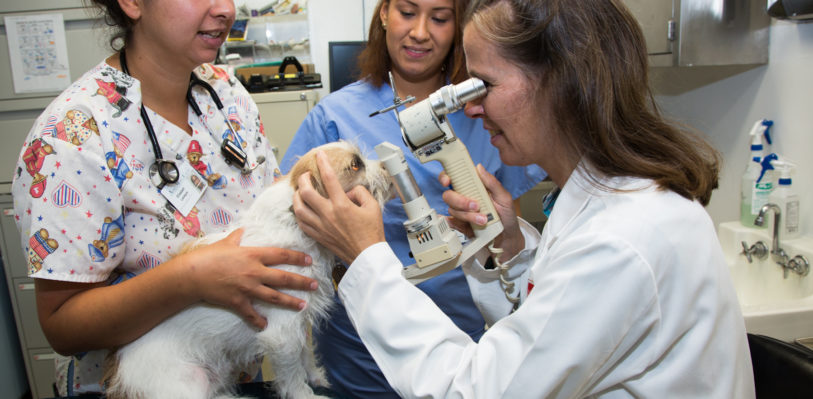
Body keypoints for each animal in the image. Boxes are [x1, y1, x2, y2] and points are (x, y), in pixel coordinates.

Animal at [103, 142, 394, 398]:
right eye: (355, 165)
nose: (386, 167)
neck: (293, 222)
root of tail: (119, 377)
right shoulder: (282, 332)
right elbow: (292, 373)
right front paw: (306, 394)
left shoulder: (299, 321)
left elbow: (305, 354)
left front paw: (316, 377)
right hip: (189, 383)